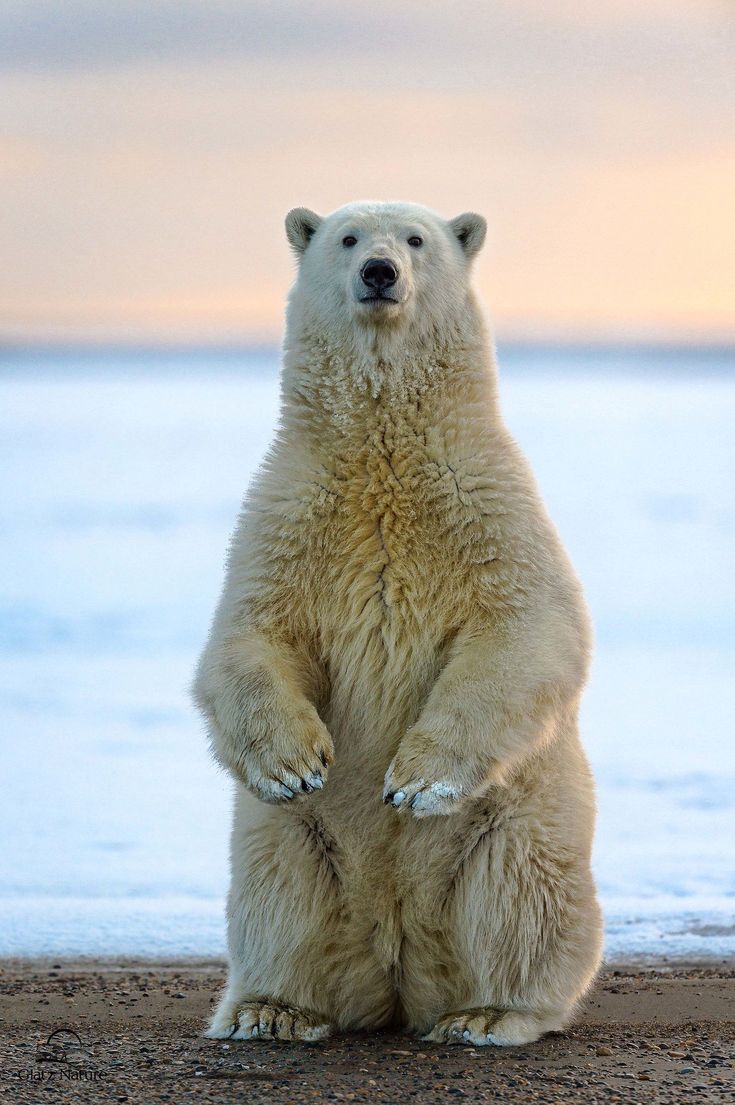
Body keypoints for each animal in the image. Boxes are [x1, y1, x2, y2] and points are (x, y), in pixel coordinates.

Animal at [194, 205, 601, 1043]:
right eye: (346, 238)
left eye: (417, 239)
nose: (379, 270)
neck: (383, 456)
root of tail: (398, 968)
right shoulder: (290, 514)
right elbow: (251, 633)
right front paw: (295, 763)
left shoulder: (487, 508)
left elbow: (527, 629)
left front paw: (415, 780)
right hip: (291, 843)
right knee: (278, 896)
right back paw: (271, 1007)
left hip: (519, 822)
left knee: (524, 902)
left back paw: (488, 1011)